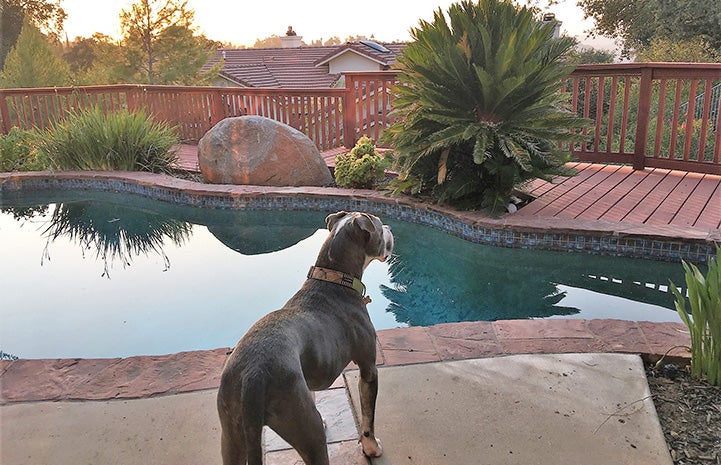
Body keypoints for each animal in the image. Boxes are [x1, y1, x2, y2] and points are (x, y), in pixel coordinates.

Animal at [217, 211, 394, 464]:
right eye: (379, 226)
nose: (389, 227)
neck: (333, 278)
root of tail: (253, 375)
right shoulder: (368, 368)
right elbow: (368, 417)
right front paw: (371, 448)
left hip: (231, 433)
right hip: (308, 431)